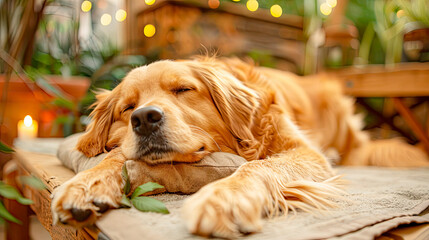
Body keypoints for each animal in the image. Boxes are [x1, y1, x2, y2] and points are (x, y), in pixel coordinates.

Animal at [51, 56, 428, 238]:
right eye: (127, 108)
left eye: (183, 90)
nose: (144, 118)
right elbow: (116, 154)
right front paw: (87, 184)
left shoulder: (304, 151)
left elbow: (259, 165)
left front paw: (224, 198)